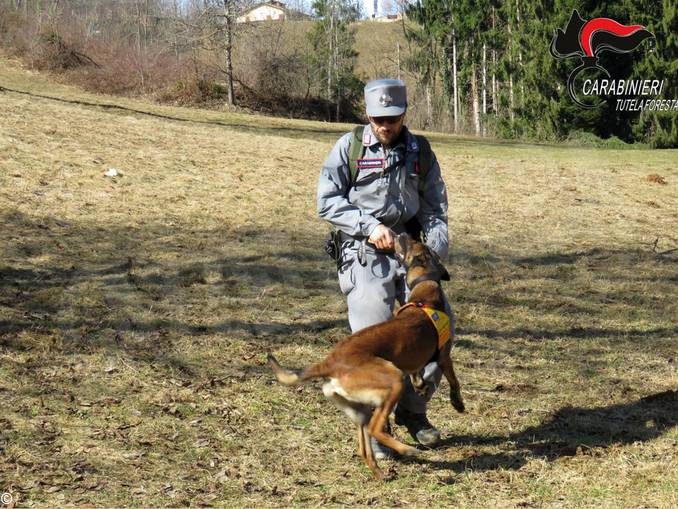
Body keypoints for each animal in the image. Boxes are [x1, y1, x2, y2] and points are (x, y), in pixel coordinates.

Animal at [268, 232, 464, 478]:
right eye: (414, 243)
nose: (401, 233)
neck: (425, 288)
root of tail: (329, 362)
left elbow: (418, 373)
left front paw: (420, 386)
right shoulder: (444, 356)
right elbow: (454, 381)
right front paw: (458, 403)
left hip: (359, 409)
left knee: (365, 447)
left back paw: (381, 474)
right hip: (393, 382)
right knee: (375, 429)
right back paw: (406, 450)